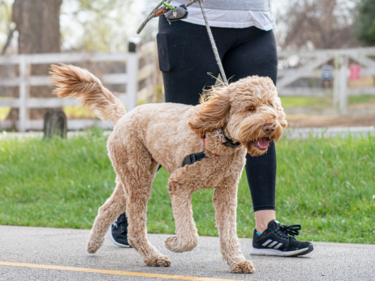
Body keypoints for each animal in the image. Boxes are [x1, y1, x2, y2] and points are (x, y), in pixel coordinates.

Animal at [50, 64, 288, 274]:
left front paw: (237, 261)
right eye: (250, 108)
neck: (218, 138)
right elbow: (190, 236)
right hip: (138, 176)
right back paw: (153, 257)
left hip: (134, 175)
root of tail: (124, 117)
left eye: (271, 105)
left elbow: (229, 232)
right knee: (135, 228)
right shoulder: (179, 184)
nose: (270, 126)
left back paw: (93, 244)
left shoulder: (226, 191)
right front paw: (173, 243)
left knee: (107, 209)